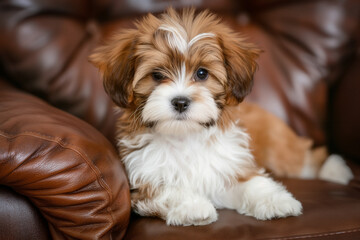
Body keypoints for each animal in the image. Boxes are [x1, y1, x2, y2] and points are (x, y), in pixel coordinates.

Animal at [90, 7, 354, 225]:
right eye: (156, 75)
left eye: (202, 73)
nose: (180, 102)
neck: (185, 136)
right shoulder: (142, 183)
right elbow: (165, 189)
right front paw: (193, 208)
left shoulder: (230, 162)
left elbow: (252, 182)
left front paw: (276, 201)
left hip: (278, 146)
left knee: (303, 158)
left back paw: (335, 170)